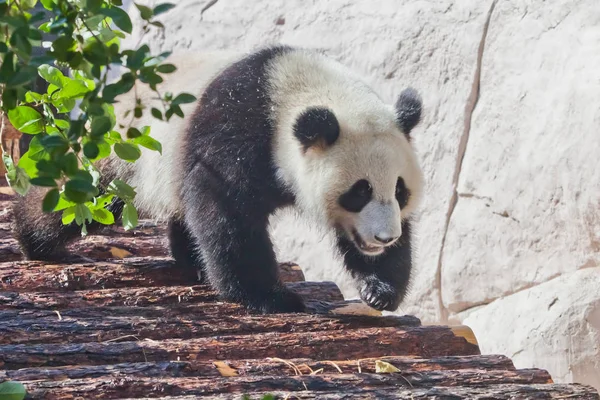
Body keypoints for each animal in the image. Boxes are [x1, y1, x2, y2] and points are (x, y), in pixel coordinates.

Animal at [11, 47, 424, 314]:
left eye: (399, 191)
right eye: (359, 192)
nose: (384, 238)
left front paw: (380, 290)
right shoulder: (238, 134)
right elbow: (226, 209)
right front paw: (270, 297)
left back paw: (193, 261)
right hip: (124, 155)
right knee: (81, 198)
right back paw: (34, 240)